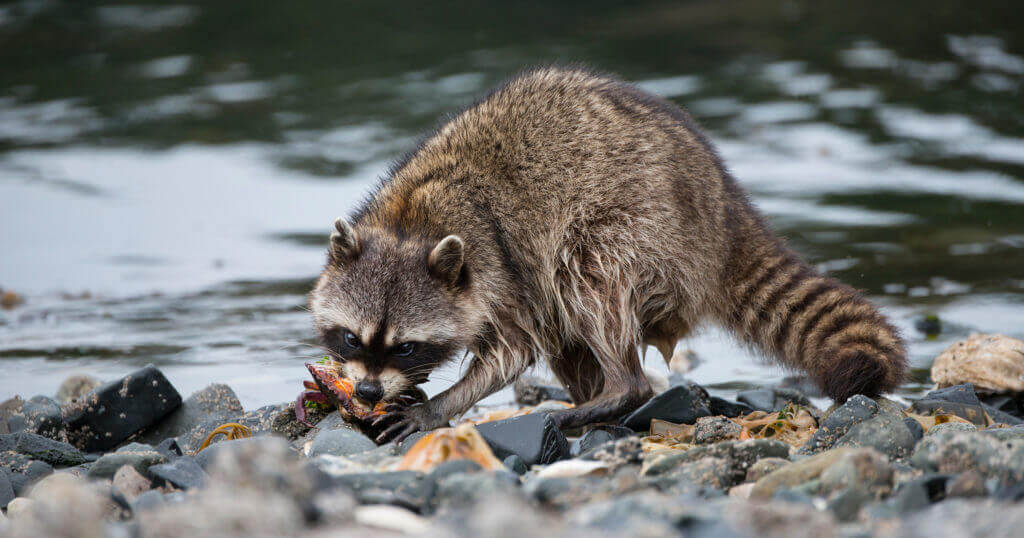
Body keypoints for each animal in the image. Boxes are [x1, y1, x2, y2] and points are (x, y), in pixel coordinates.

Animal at [307, 65, 909, 440]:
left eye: (406, 346)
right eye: (351, 338)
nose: (366, 389)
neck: (411, 222)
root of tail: (726, 210)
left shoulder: (499, 269)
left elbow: (513, 351)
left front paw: (439, 406)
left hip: (646, 231)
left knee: (587, 274)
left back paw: (615, 391)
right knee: (567, 328)